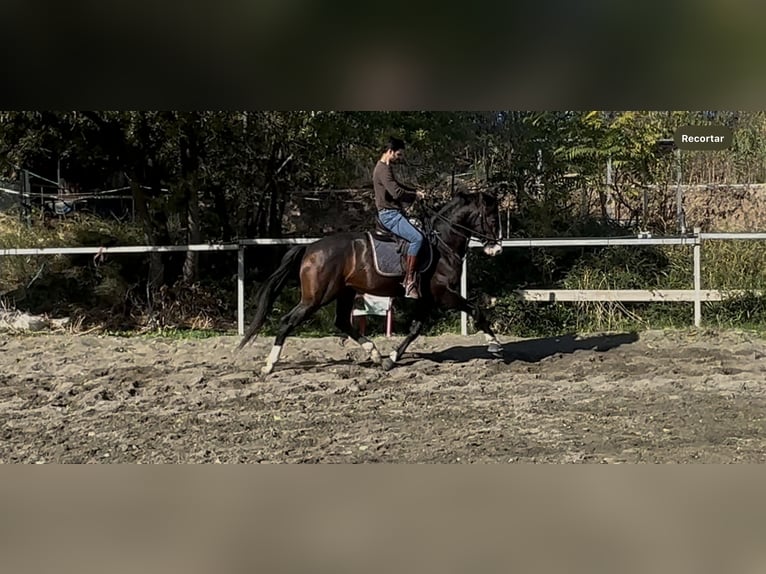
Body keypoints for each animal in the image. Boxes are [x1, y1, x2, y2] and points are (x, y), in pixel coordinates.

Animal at [237, 191, 505, 375]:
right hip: (316, 298)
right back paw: (269, 365)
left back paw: (375, 354)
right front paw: (494, 344)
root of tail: (310, 248)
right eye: (493, 220)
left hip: (343, 293)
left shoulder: (427, 299)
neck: (442, 244)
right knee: (288, 321)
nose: (498, 249)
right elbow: (476, 310)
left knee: (342, 321)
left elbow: (415, 329)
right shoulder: (443, 294)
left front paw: (391, 358)